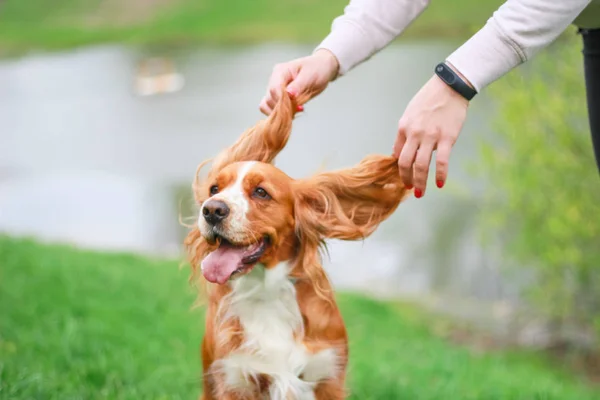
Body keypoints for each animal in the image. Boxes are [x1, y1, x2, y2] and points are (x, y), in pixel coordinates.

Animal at [183, 91, 408, 400]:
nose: (212, 210)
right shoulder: (233, 378)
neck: (266, 291)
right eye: (214, 189)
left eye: (261, 192)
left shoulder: (327, 374)